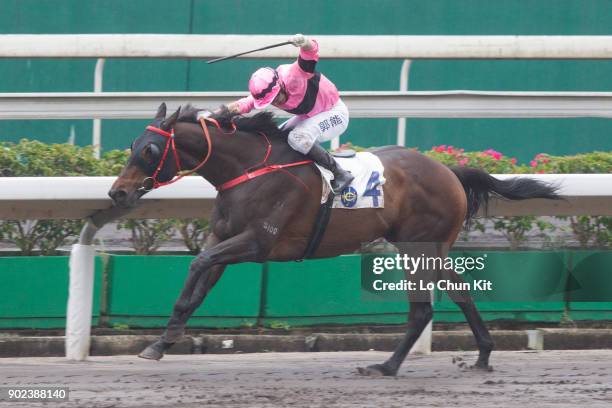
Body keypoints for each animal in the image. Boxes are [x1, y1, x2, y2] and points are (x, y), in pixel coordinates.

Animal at [110, 103, 560, 376]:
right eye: (132, 145)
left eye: (150, 151)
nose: (117, 193)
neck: (249, 168)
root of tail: (449, 170)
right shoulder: (223, 238)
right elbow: (196, 284)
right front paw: (161, 342)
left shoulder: (258, 243)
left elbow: (197, 264)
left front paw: (166, 338)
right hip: (429, 247)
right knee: (461, 291)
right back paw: (482, 355)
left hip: (416, 249)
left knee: (421, 311)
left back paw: (386, 367)